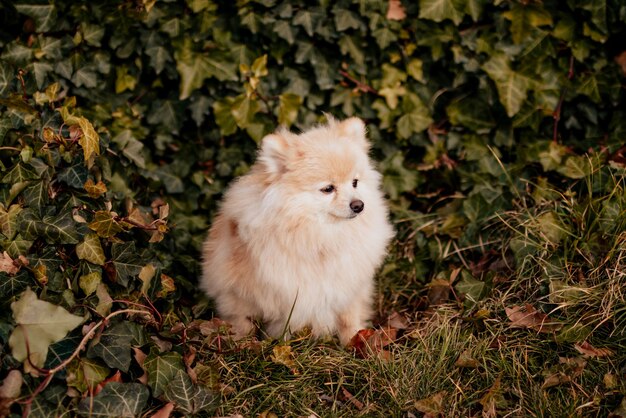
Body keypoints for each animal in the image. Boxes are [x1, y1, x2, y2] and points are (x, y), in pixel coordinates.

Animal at [200, 116, 390, 344]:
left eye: (355, 182)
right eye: (328, 189)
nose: (359, 205)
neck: (321, 236)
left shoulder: (348, 288)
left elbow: (349, 319)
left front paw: (355, 341)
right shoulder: (241, 291)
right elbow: (243, 319)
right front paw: (242, 343)